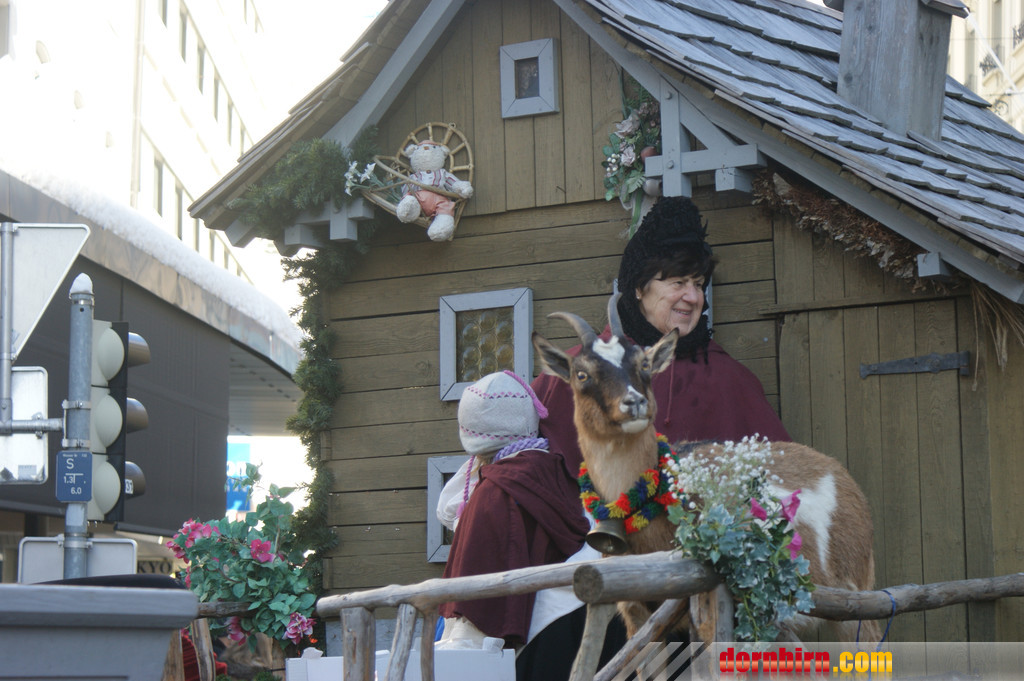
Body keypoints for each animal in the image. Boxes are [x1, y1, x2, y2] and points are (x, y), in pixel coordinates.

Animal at [532, 295, 879, 643]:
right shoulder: (636, 613)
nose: (634, 402)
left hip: (854, 598)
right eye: (581, 374)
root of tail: (841, 474)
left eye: (644, 364)